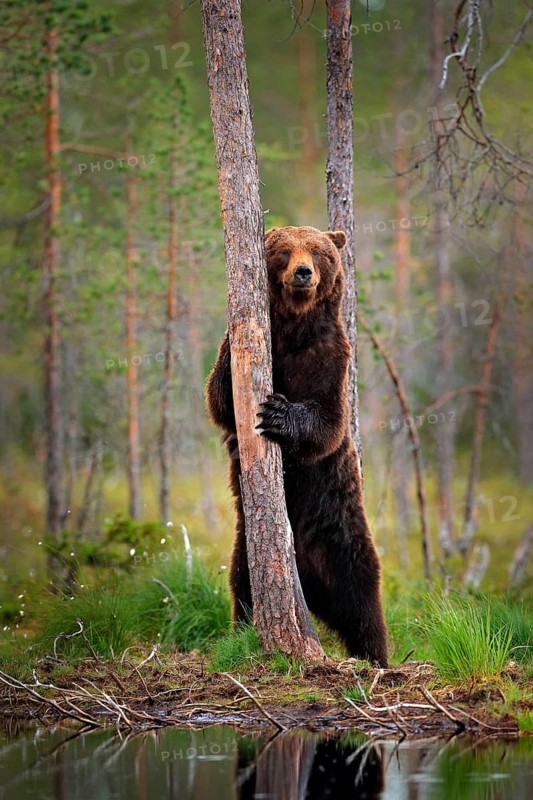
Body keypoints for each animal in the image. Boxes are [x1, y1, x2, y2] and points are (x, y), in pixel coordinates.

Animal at [206, 225, 388, 666]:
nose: (303, 273)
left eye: (319, 252)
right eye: (284, 251)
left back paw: (377, 658)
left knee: (363, 603)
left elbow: (327, 421)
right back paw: (243, 630)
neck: (293, 327)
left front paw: (278, 413)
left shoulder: (331, 355)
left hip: (342, 539)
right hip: (248, 554)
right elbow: (220, 399)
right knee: (243, 591)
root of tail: (306, 582)